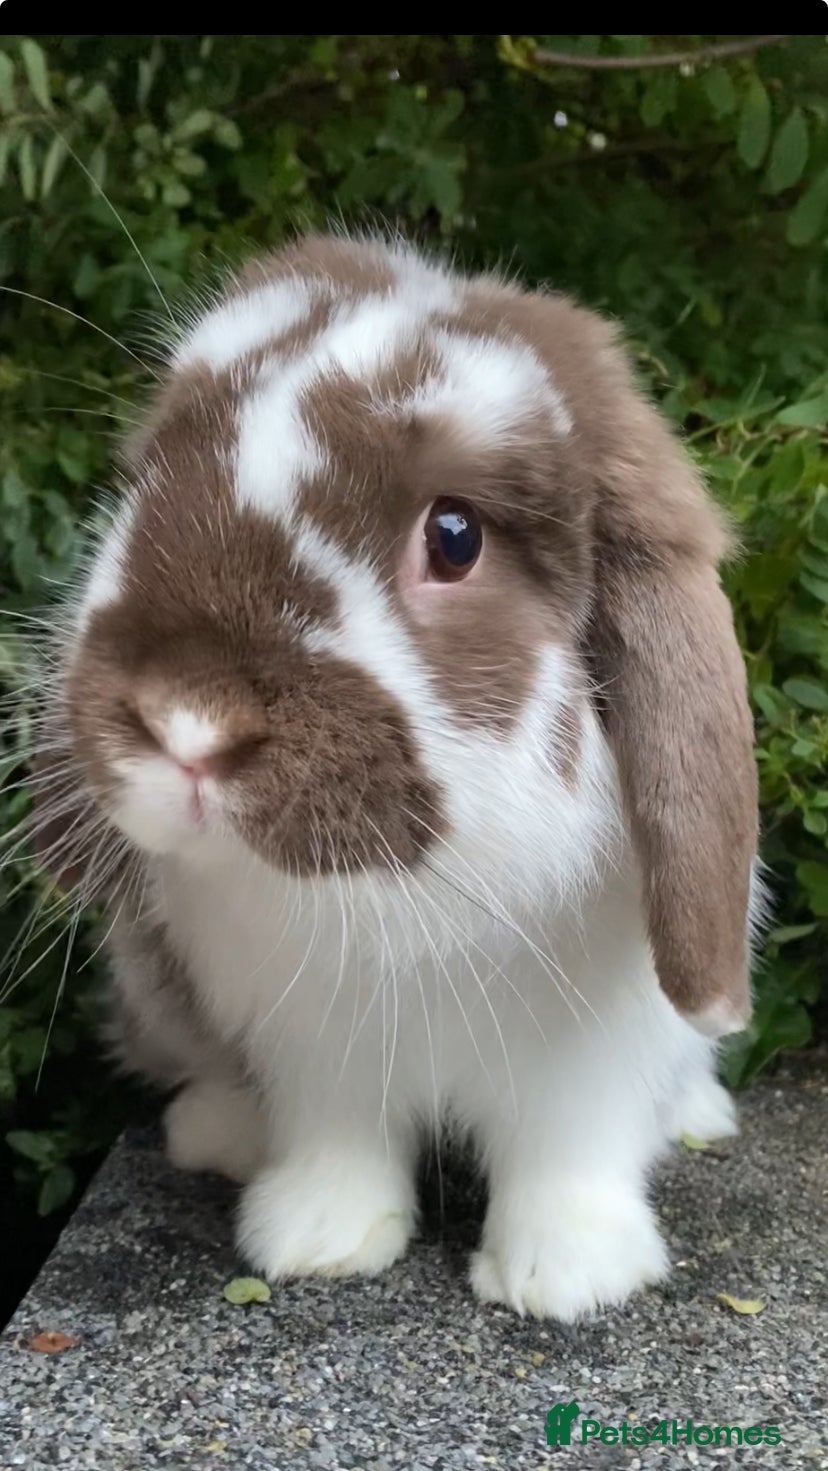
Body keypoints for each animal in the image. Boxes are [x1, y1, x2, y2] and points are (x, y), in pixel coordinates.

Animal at [30, 232, 759, 1321]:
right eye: (151, 479)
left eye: (455, 536)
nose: (186, 721)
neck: (415, 893)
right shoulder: (315, 1047)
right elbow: (337, 1136)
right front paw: (316, 1238)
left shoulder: (591, 1056)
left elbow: (569, 1151)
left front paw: (567, 1276)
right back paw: (218, 1133)